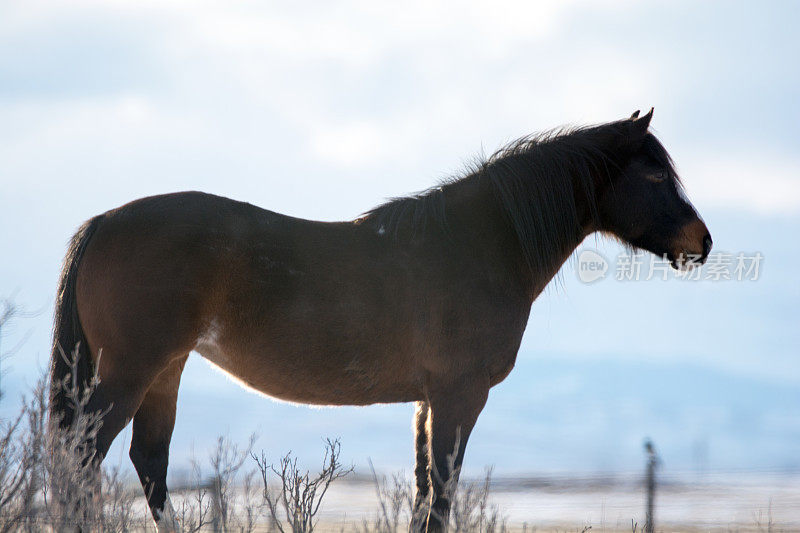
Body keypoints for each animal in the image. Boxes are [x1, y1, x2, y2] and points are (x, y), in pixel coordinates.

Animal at [50, 109, 712, 532]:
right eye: (655, 174)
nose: (701, 242)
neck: (476, 245)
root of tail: (104, 222)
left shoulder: (427, 401)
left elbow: (423, 491)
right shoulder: (460, 395)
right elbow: (442, 492)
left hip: (164, 371)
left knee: (147, 463)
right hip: (131, 372)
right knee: (83, 460)